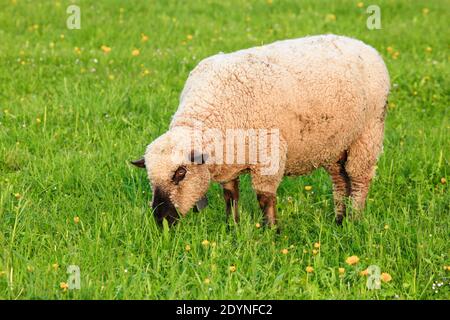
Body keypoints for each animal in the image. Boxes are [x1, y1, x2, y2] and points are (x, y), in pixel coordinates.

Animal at [131, 33, 390, 226]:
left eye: (181, 173)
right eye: (149, 176)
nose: (161, 220)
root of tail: (363, 45)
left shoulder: (268, 155)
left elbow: (265, 198)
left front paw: (271, 232)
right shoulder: (229, 161)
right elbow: (230, 196)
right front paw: (232, 227)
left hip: (368, 132)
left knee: (359, 179)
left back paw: (354, 220)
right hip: (335, 143)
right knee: (340, 180)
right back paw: (338, 220)